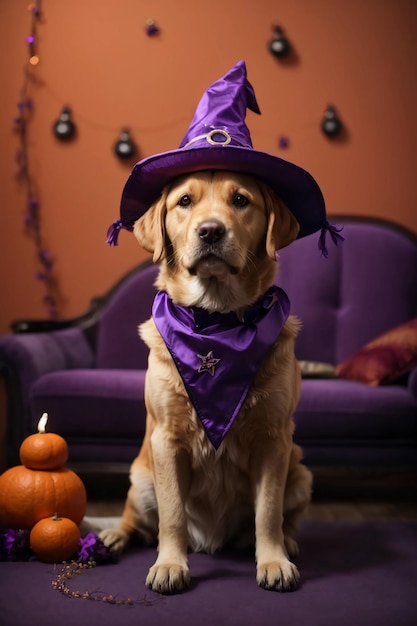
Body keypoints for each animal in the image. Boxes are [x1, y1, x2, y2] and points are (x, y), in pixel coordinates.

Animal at [99, 169, 310, 588]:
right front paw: (170, 564)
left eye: (241, 200)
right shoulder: (166, 439)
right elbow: (172, 515)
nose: (210, 231)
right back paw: (114, 535)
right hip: (140, 477)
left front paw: (273, 561)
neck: (215, 322)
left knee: (284, 519)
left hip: (299, 473)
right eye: (184, 201)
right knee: (137, 522)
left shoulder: (273, 440)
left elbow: (268, 512)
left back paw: (289, 543)